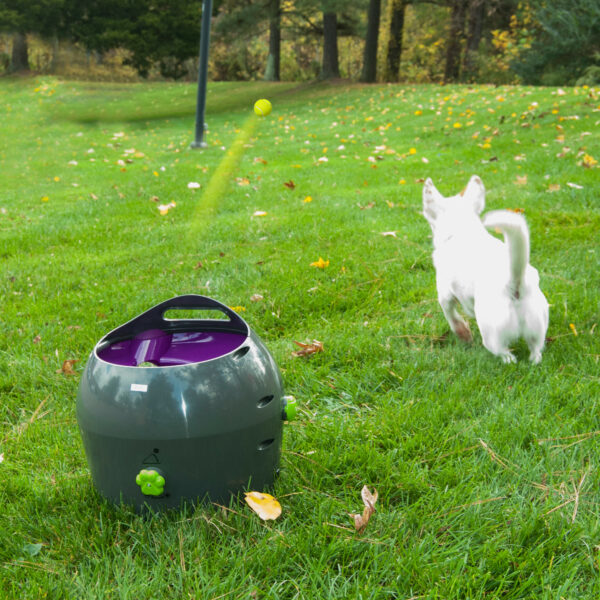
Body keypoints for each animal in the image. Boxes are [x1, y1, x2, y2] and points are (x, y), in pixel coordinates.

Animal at [422, 173, 548, 360]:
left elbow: (452, 317)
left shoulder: (445, 294)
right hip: (537, 329)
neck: (462, 230)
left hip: (491, 335)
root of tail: (515, 285)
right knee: (536, 352)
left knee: (505, 354)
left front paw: (464, 335)